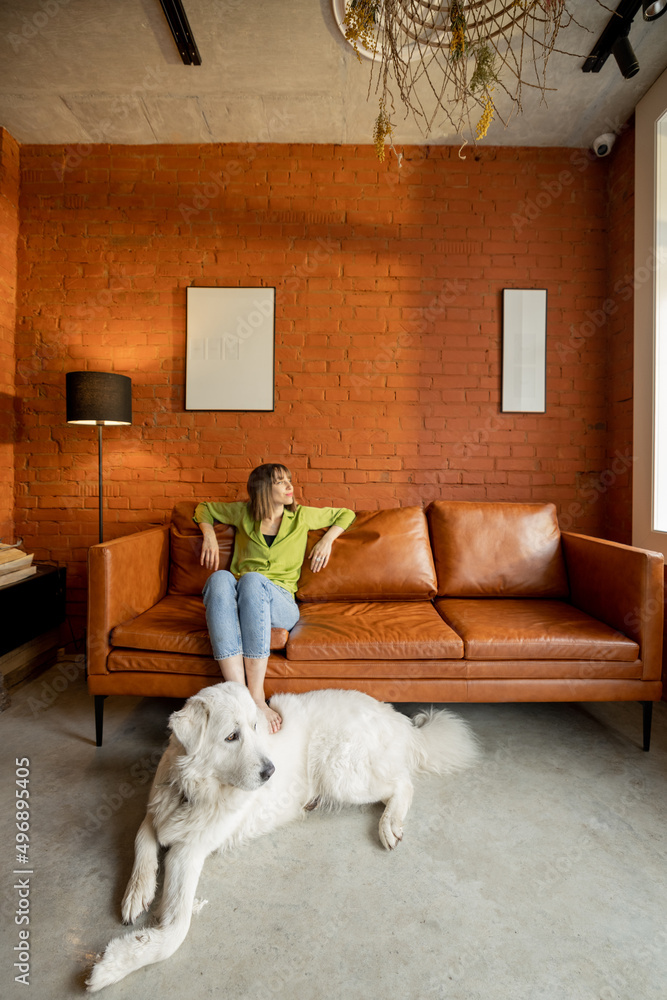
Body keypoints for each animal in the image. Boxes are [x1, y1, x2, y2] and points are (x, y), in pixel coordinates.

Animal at [86, 680, 478, 992]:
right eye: (232, 736)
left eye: (255, 726)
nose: (270, 772)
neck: (192, 790)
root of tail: (396, 718)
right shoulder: (157, 813)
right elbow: (141, 842)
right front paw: (137, 893)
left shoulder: (190, 852)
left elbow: (176, 930)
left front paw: (115, 964)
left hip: (341, 774)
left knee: (402, 784)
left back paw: (389, 824)